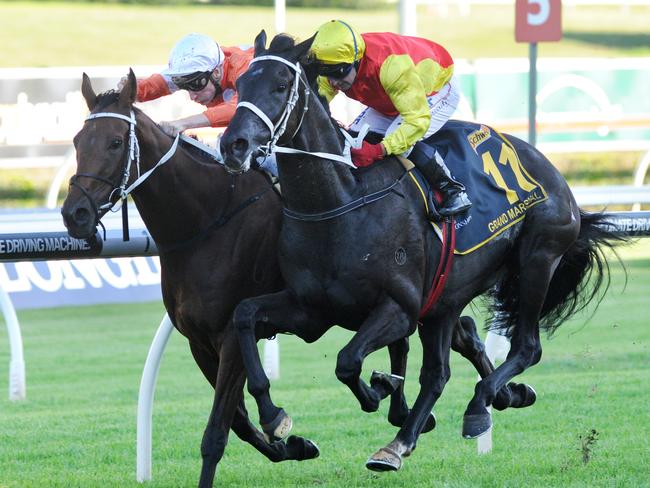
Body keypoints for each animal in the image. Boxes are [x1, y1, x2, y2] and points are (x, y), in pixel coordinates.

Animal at [220, 31, 620, 472]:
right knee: (445, 365)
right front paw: (274, 415)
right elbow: (245, 315)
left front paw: (379, 388)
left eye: (279, 86)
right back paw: (463, 412)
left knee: (523, 347)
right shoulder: (311, 310)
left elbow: (348, 361)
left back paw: (470, 408)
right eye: (240, 85)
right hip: (448, 297)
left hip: (537, 261)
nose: (233, 144)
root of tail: (551, 171)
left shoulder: (400, 307)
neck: (340, 203)